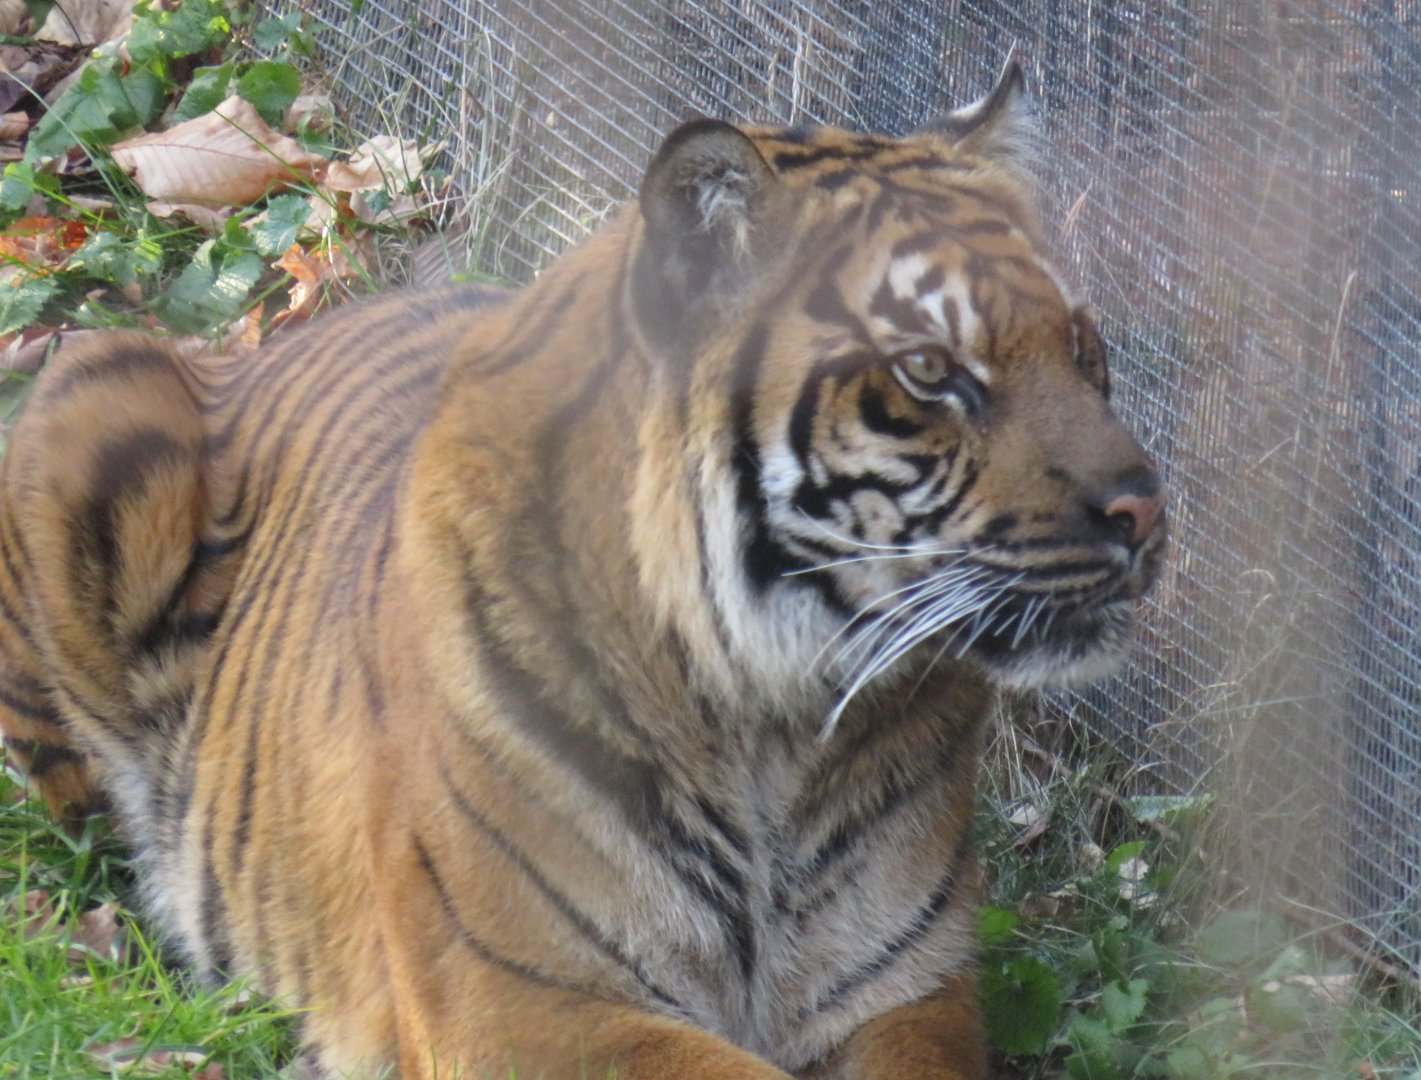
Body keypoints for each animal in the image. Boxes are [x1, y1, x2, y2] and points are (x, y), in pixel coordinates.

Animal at [0, 61, 1165, 1079]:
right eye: (927, 369)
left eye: (1080, 344)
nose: (1144, 508)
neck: (771, 730)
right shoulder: (519, 1003)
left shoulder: (904, 992)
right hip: (94, 384)